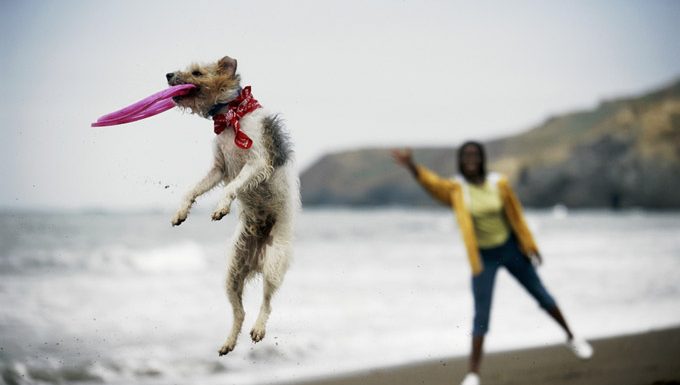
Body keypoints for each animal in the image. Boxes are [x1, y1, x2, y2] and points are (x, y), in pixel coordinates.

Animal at [166, 55, 296, 356]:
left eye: (197, 72)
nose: (167, 75)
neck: (231, 117)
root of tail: (256, 259)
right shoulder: (218, 168)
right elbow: (192, 190)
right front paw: (181, 212)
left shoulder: (257, 163)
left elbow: (231, 187)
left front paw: (222, 207)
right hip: (232, 273)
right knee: (239, 312)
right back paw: (228, 342)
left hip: (274, 263)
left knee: (267, 303)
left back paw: (259, 329)